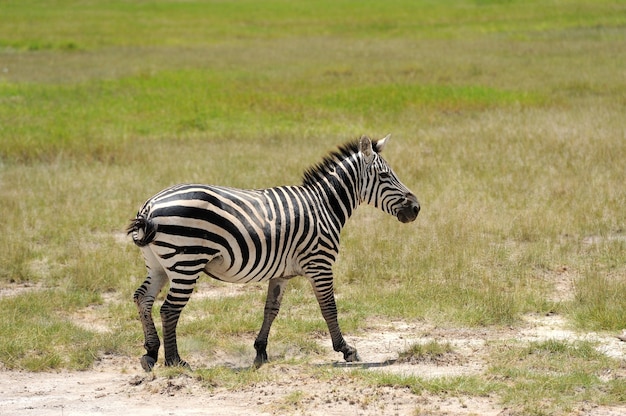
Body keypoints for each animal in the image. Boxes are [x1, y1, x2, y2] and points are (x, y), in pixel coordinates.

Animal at [127, 134, 420, 370]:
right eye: (385, 176)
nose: (416, 208)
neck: (324, 205)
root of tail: (150, 205)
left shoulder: (280, 273)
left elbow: (271, 309)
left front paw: (260, 352)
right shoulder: (320, 264)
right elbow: (329, 308)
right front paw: (346, 350)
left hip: (159, 264)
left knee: (143, 298)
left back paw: (151, 353)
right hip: (186, 262)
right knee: (169, 309)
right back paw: (175, 361)